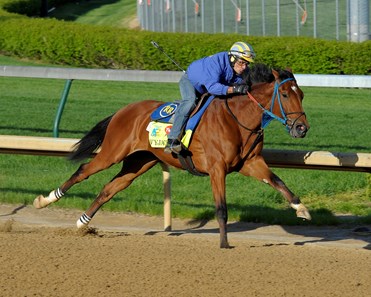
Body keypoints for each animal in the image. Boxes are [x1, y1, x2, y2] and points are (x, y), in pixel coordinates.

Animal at [33, 63, 310, 247]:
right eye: (285, 94)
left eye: (302, 94)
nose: (302, 128)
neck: (237, 118)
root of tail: (123, 110)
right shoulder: (217, 168)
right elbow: (221, 208)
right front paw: (224, 243)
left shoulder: (250, 163)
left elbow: (278, 182)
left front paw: (302, 209)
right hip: (112, 152)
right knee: (83, 172)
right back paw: (45, 200)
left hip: (140, 162)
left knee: (109, 189)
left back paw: (83, 222)